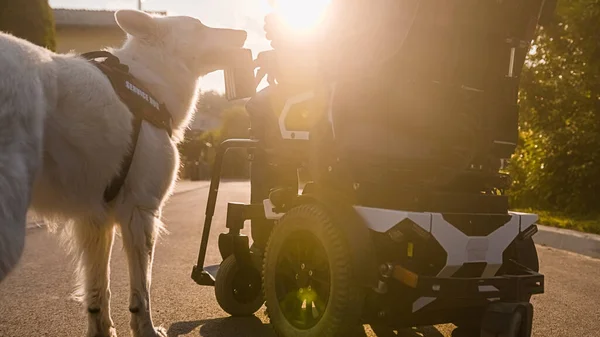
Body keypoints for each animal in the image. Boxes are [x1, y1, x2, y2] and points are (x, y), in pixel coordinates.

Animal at [0, 9, 247, 334]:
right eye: (199, 27)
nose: (244, 34)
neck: (149, 82)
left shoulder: (94, 221)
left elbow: (98, 291)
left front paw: (102, 331)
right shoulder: (141, 212)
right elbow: (142, 291)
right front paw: (147, 330)